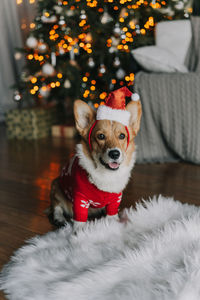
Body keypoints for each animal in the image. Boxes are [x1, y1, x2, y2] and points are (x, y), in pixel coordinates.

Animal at [49, 86, 141, 230]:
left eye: (122, 136)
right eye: (101, 136)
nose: (115, 154)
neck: (106, 175)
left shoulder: (116, 198)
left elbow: (112, 214)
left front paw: (113, 224)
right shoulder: (80, 198)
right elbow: (80, 218)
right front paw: (80, 232)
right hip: (55, 186)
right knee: (57, 207)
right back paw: (59, 218)